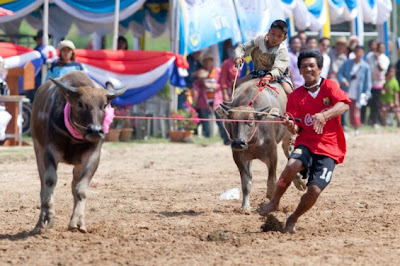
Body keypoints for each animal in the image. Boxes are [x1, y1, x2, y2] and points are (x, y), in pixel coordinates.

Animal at [30, 70, 126, 233]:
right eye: (80, 104)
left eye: (104, 105)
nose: (95, 130)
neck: (74, 137)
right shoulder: (50, 150)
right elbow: (50, 181)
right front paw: (48, 217)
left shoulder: (93, 155)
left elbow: (81, 189)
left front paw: (78, 222)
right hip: (38, 148)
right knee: (43, 185)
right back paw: (39, 224)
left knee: (74, 184)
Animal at [217, 79, 304, 212]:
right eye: (232, 121)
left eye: (250, 120)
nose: (239, 142)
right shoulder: (238, 157)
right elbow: (246, 183)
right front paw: (245, 206)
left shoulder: (272, 154)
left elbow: (272, 182)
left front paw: (272, 203)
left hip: (288, 134)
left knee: (288, 150)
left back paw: (298, 180)